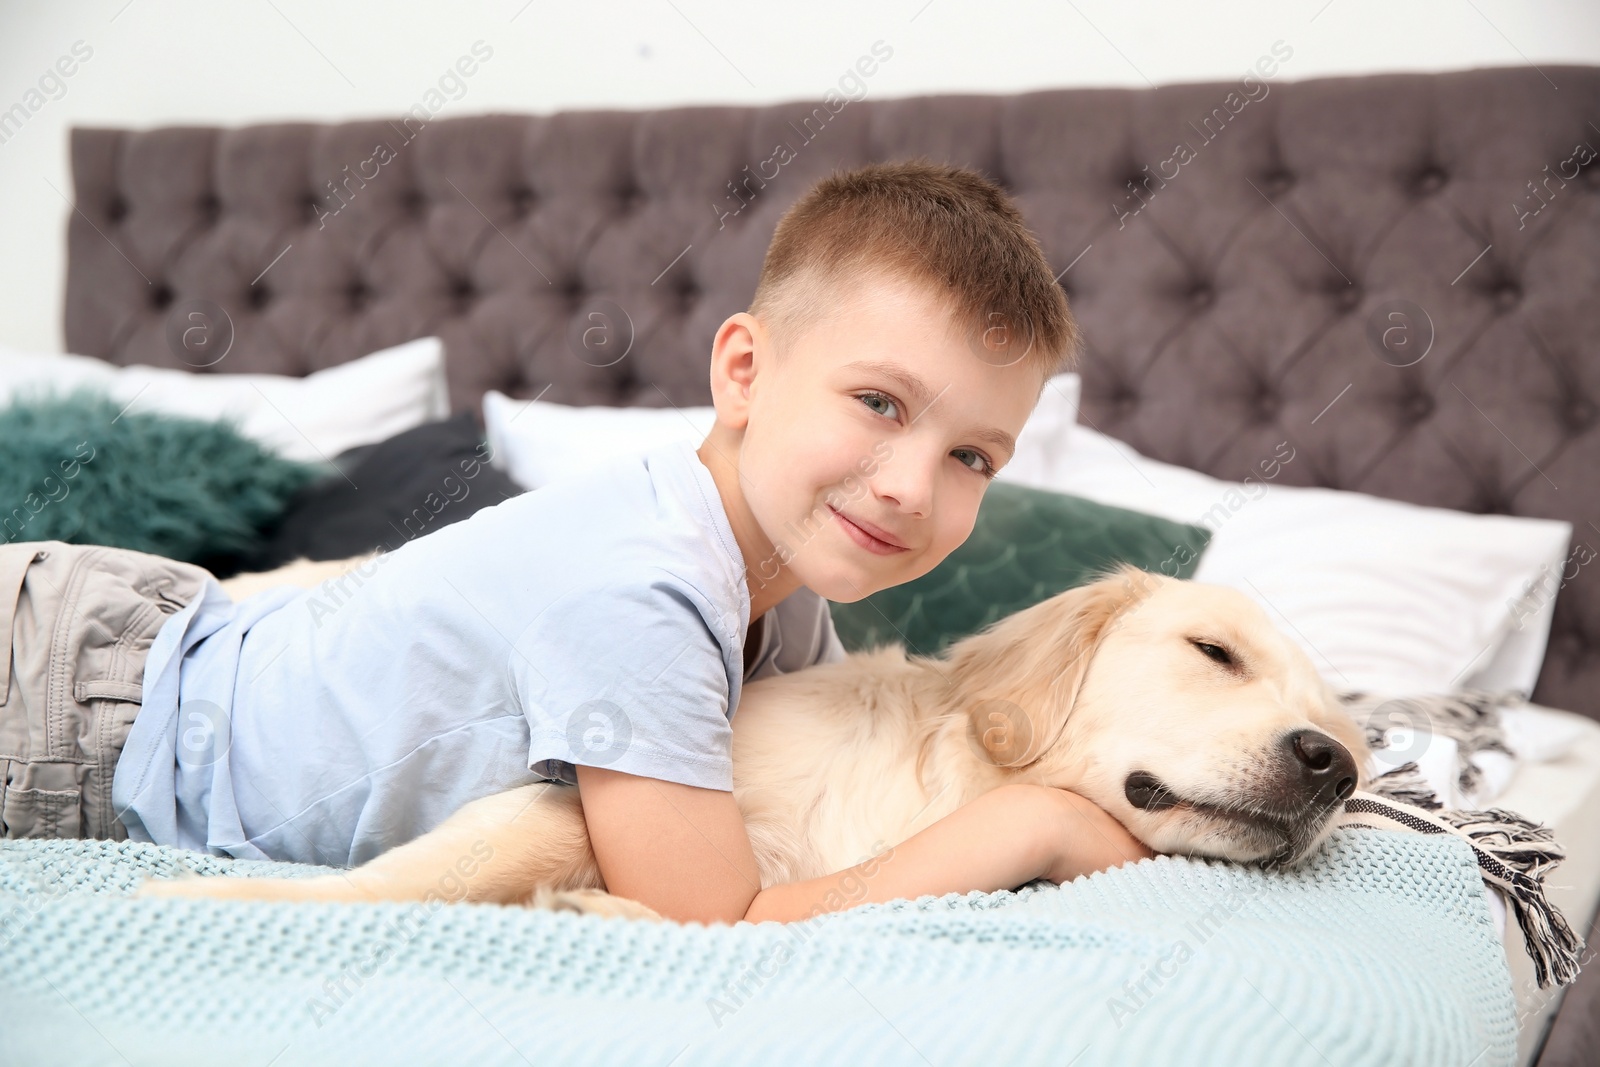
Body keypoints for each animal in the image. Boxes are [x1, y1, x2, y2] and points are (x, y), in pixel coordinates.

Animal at [140, 559, 1363, 921]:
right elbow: (396, 881)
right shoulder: (562, 799)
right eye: (1213, 651)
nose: (1333, 766)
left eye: (1352, 734)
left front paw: (593, 911)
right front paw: (183, 897)